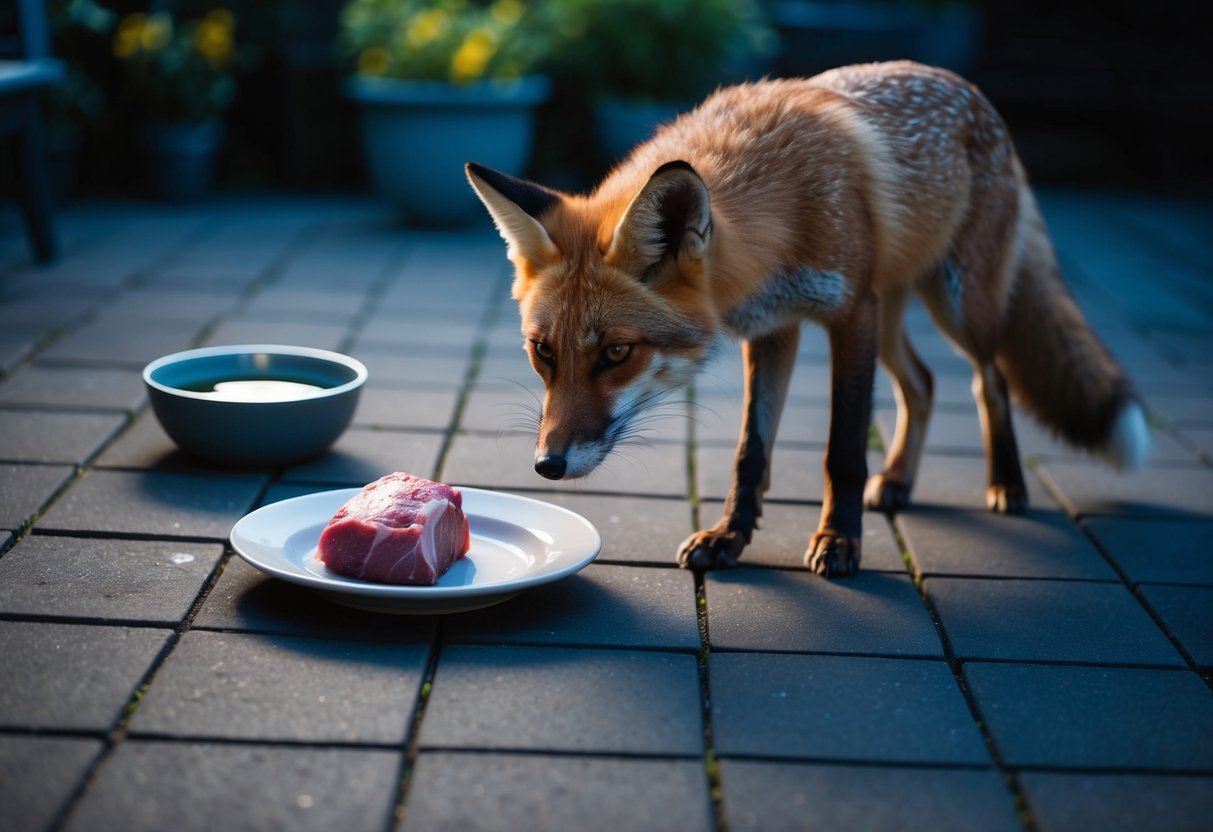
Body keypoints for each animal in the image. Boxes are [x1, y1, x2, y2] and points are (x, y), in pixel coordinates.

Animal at [466, 60, 1150, 576]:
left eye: (615, 353)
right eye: (542, 352)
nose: (547, 466)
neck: (786, 199)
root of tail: (974, 92)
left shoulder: (851, 314)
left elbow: (841, 450)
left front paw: (840, 541)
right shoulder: (775, 328)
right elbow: (751, 452)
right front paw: (728, 536)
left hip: (957, 305)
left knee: (991, 379)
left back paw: (1007, 484)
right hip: (894, 315)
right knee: (924, 384)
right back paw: (897, 481)